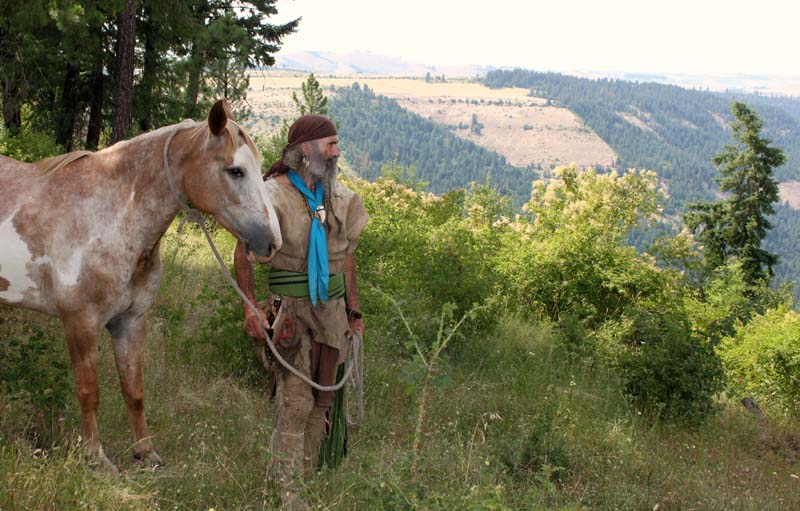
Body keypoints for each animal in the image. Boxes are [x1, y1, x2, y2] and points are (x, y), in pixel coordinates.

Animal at [0, 101, 282, 476]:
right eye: (235, 171)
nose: (272, 242)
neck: (110, 217)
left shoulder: (131, 322)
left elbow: (134, 391)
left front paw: (146, 453)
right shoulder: (81, 322)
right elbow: (89, 392)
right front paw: (96, 459)